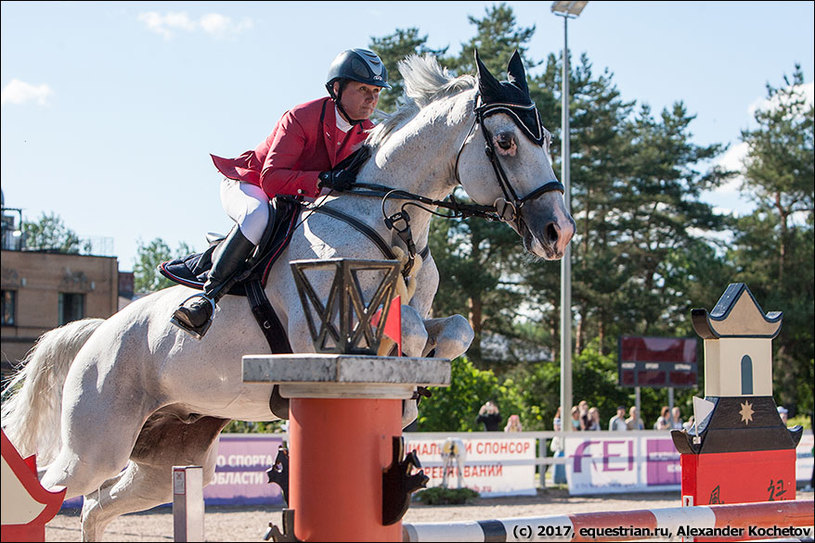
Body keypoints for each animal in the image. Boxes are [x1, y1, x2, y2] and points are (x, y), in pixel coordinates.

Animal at [1, 51, 572, 540]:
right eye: (505, 142)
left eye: (545, 138)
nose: (559, 232)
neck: (386, 220)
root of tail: (98, 332)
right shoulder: (318, 332)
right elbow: (405, 329)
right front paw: (409, 380)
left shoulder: (423, 313)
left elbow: (452, 330)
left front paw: (415, 390)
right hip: (95, 446)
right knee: (53, 490)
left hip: (166, 461)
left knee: (96, 507)